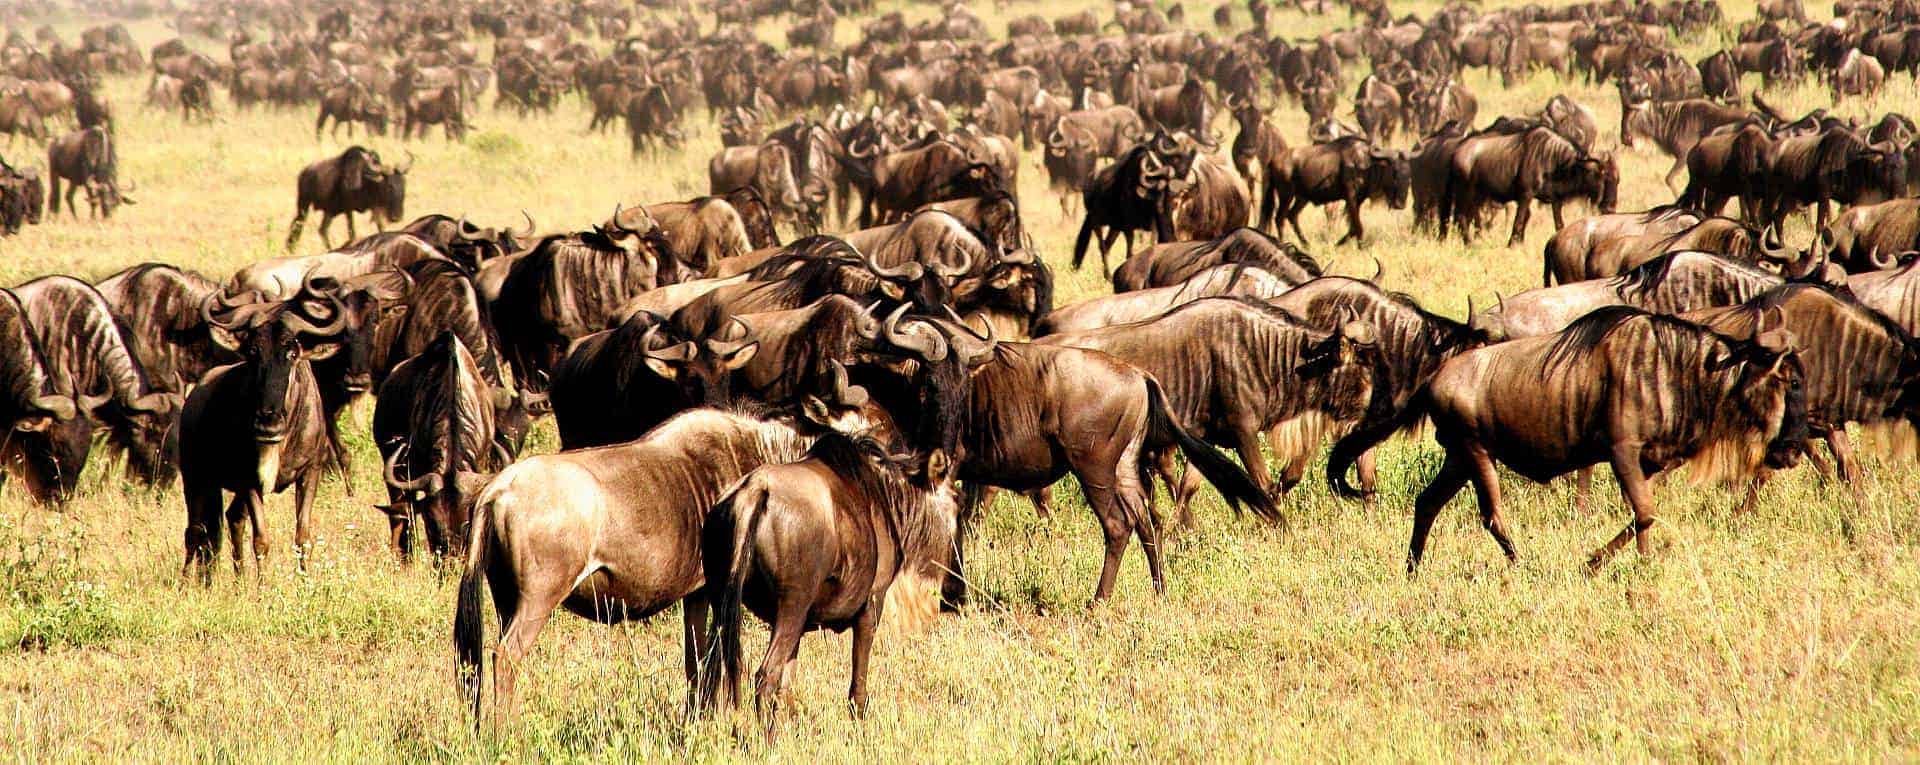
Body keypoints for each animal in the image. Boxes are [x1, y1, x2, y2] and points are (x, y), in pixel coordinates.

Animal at [695, 432, 956, 730]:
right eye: (954, 501)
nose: (953, 588)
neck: (884, 495)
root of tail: (753, 492)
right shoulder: (871, 606)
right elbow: (858, 689)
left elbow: (787, 687)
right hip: (792, 607)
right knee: (764, 676)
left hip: (724, 604)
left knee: (714, 676)